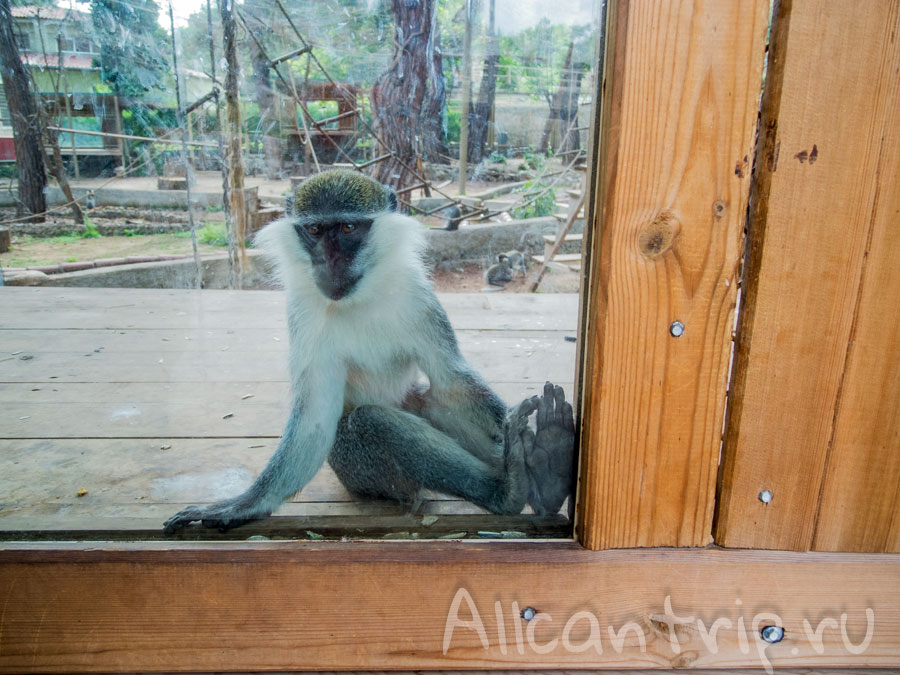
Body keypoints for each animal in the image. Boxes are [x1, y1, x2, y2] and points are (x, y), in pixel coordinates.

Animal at [163, 170, 574, 533]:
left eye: (348, 229)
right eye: (315, 230)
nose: (329, 263)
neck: (360, 298)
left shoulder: (418, 296)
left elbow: (451, 377)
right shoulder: (302, 311)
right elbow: (314, 416)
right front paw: (245, 504)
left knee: (437, 400)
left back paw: (546, 464)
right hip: (355, 469)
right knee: (369, 420)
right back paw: (507, 490)